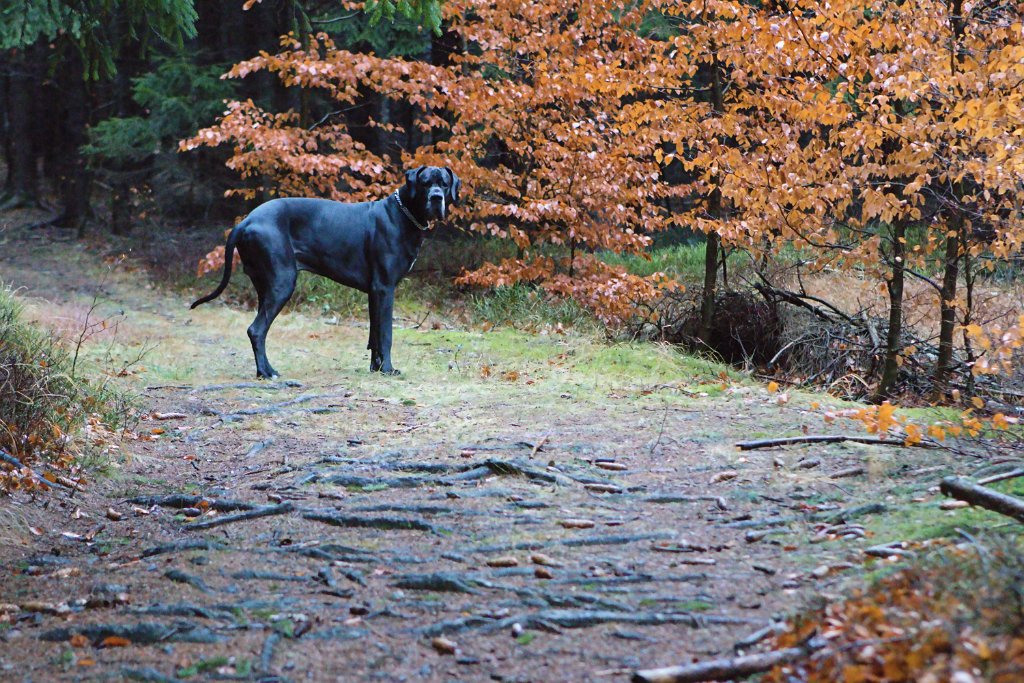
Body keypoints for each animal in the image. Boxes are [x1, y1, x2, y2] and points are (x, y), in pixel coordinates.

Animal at [191, 167, 460, 376]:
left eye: (444, 184)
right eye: (425, 183)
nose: (437, 198)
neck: (403, 214)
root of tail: (245, 221)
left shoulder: (374, 292)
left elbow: (374, 335)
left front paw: (375, 368)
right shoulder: (385, 288)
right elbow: (386, 335)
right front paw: (388, 370)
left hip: (263, 285)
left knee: (259, 329)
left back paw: (264, 370)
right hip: (282, 282)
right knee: (256, 330)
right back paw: (267, 373)